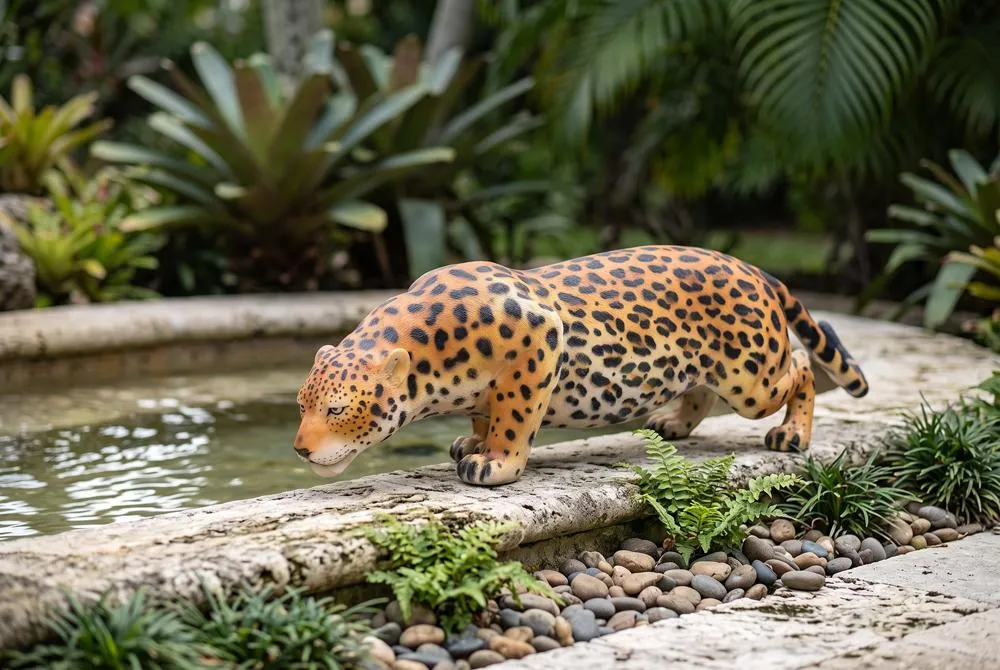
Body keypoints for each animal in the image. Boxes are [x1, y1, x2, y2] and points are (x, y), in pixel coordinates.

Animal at [294, 245, 868, 486]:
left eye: (339, 408)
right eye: (301, 404)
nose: (299, 449)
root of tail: (751, 267)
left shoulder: (537, 341)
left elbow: (514, 417)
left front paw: (495, 462)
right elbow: (484, 411)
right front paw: (474, 442)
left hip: (752, 378)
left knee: (801, 365)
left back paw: (792, 434)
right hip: (711, 368)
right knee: (701, 386)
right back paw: (673, 423)